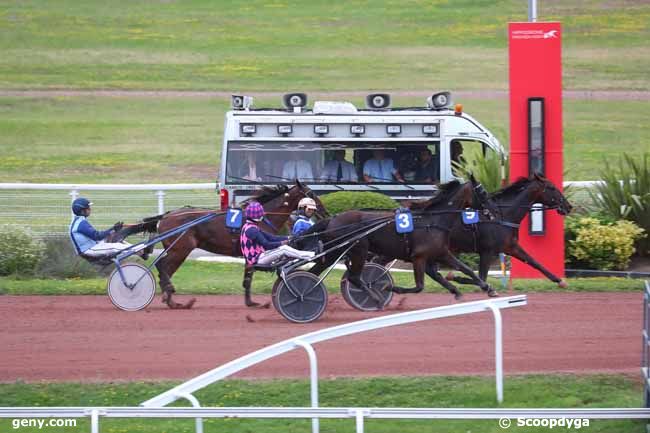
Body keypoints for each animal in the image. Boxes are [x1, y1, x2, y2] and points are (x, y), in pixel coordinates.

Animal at [117, 181, 324, 308]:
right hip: (180, 249)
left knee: (165, 269)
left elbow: (248, 278)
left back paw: (171, 300)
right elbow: (251, 275)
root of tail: (165, 216)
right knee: (162, 266)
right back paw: (170, 295)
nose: (323, 209)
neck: (261, 217)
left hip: (178, 250)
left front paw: (251, 302)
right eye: (311, 193)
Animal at [294, 179, 496, 300]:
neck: (432, 221)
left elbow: (465, 270)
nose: (493, 211)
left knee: (315, 271)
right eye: (483, 193)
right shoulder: (419, 258)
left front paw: (482, 287)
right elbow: (419, 287)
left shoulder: (438, 254)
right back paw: (375, 297)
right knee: (354, 277)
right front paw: (389, 288)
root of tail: (333, 219)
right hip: (358, 249)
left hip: (335, 251)